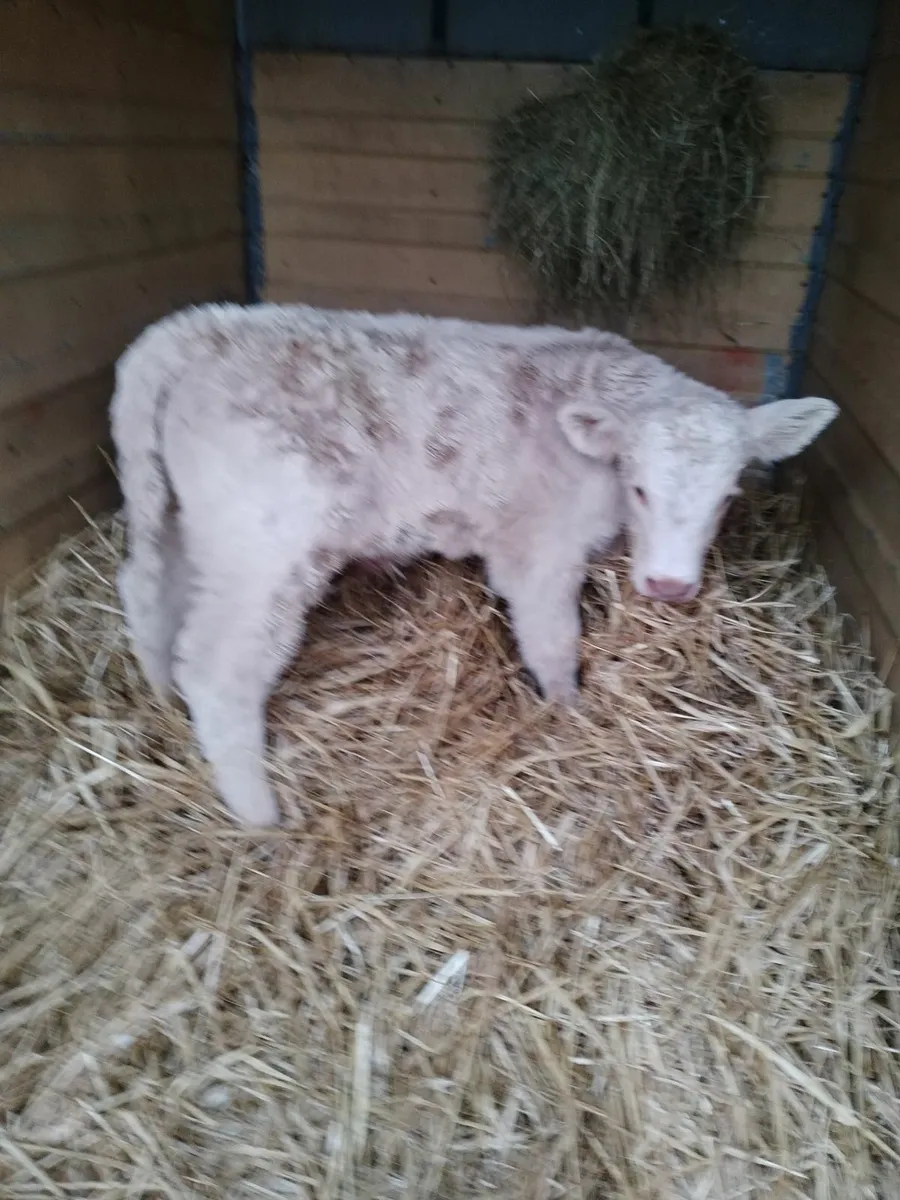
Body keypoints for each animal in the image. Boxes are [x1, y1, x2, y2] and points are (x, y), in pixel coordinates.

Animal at [110, 303, 837, 826]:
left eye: (729, 496)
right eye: (639, 488)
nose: (669, 586)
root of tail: (192, 329)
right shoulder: (539, 550)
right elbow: (553, 642)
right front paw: (569, 716)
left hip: (184, 520)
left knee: (148, 596)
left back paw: (163, 699)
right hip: (262, 545)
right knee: (218, 667)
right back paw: (260, 816)